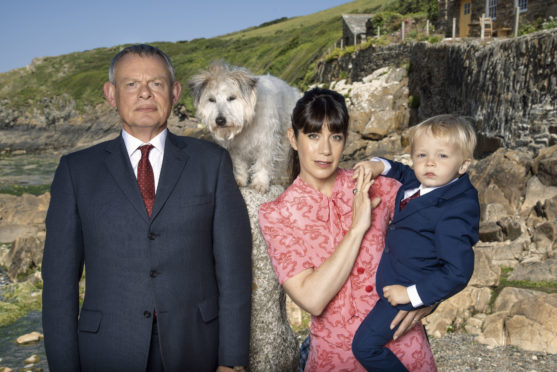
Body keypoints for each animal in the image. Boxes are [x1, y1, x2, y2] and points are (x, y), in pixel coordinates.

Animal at [189, 61, 300, 192]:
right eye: (211, 100)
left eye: (232, 98)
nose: (220, 120)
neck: (246, 124)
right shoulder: (235, 149)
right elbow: (240, 165)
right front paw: (240, 180)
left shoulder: (267, 143)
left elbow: (263, 163)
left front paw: (260, 182)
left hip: (285, 141)